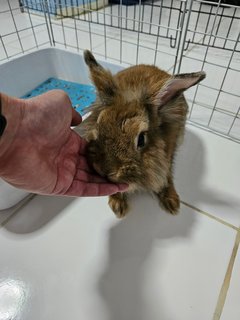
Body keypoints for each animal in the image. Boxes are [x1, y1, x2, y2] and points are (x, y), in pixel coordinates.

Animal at [79, 50, 205, 220]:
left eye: (141, 140)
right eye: (99, 125)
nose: (105, 170)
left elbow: (166, 175)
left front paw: (172, 203)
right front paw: (118, 206)